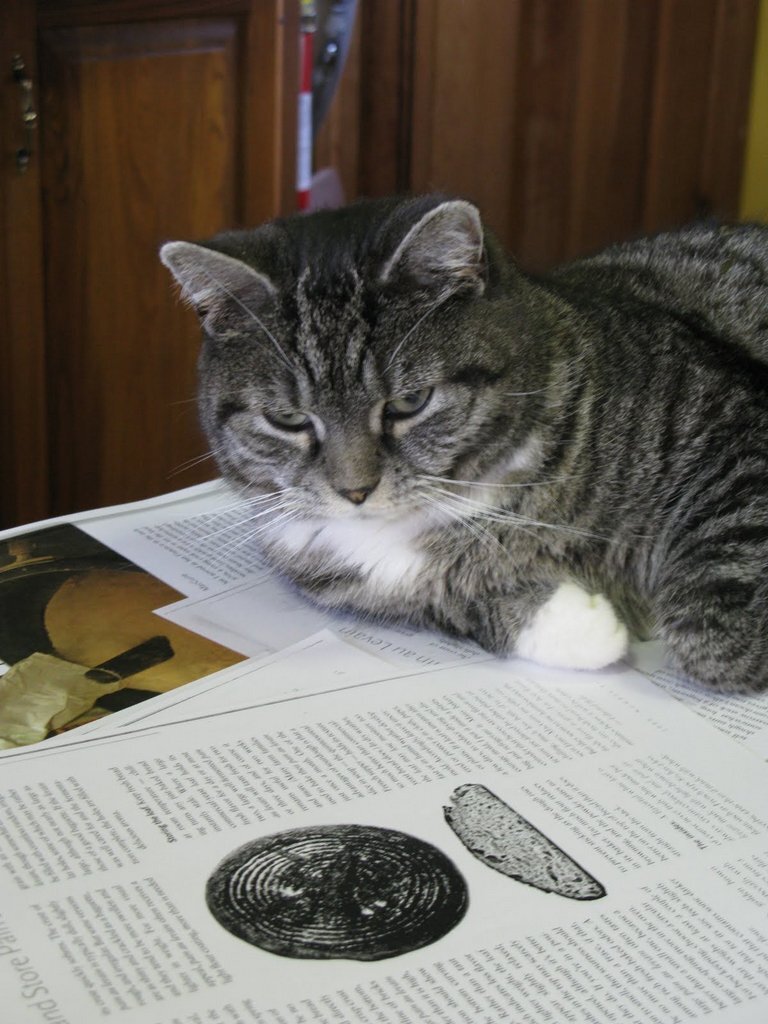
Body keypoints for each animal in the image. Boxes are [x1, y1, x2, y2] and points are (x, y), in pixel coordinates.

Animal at [159, 194, 768, 692]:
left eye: (410, 402)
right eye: (287, 419)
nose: (355, 491)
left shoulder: (729, 428)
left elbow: (709, 634)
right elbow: (453, 605)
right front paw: (579, 623)